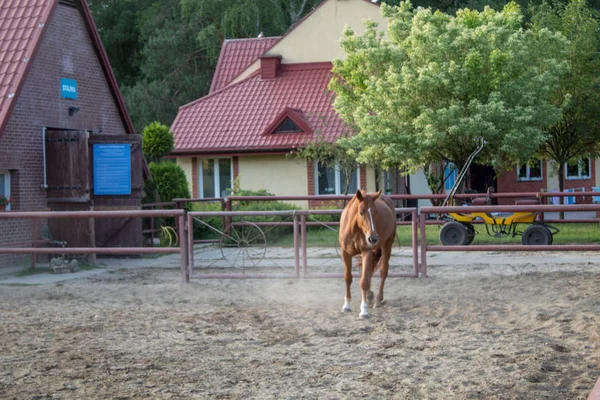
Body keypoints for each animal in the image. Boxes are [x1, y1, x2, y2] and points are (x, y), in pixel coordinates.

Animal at [340, 190, 396, 318]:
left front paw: (364, 311)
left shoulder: (366, 251)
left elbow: (364, 281)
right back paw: (370, 296)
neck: (354, 229)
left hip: (387, 244)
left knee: (383, 271)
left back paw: (378, 300)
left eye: (376, 212)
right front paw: (347, 305)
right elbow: (348, 278)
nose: (373, 238)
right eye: (361, 212)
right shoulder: (345, 253)